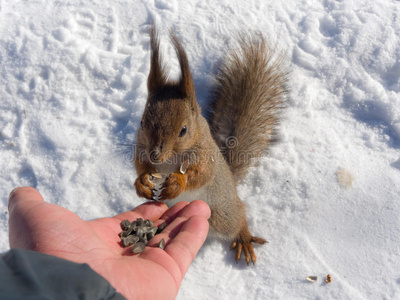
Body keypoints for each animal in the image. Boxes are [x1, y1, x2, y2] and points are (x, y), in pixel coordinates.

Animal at [134, 26, 288, 264]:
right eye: (141, 123)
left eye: (184, 130)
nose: (155, 155)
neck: (170, 159)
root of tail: (232, 185)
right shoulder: (140, 148)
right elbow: (139, 165)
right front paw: (141, 182)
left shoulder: (206, 155)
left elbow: (202, 174)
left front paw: (178, 182)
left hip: (222, 214)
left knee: (238, 216)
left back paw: (243, 236)